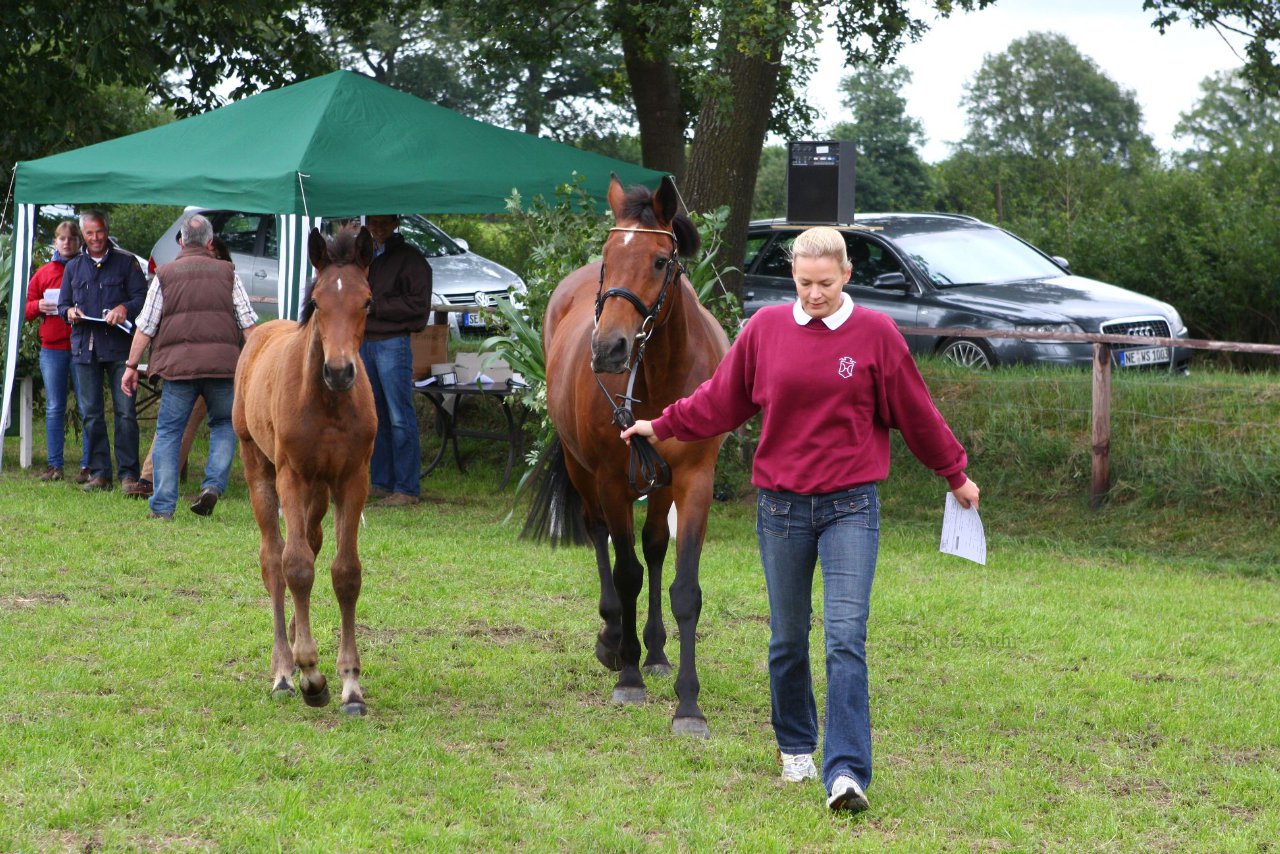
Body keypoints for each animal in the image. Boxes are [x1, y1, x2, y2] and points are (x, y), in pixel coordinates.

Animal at [234, 225, 376, 717]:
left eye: (367, 301)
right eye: (316, 300)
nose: (340, 371)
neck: (328, 403)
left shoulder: (353, 479)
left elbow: (345, 572)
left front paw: (351, 684)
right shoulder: (291, 476)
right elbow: (294, 566)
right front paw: (311, 674)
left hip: (318, 490)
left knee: (311, 543)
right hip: (260, 469)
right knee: (273, 558)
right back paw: (283, 669)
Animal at [524, 174, 732, 737]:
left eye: (660, 261)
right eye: (607, 257)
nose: (609, 349)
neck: (661, 372)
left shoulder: (694, 480)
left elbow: (683, 587)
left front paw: (688, 704)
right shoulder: (613, 481)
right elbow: (626, 572)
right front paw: (630, 678)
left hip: (660, 483)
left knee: (655, 545)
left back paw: (655, 650)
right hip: (582, 470)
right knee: (600, 537)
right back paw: (614, 638)